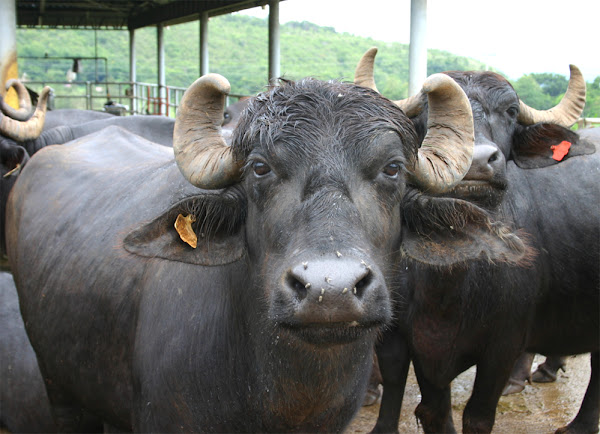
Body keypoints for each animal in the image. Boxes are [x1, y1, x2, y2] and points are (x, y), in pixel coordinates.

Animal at [358, 49, 596, 432]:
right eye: (429, 113)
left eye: (511, 111)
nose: (476, 161)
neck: (452, 282)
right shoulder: (421, 346)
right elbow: (434, 411)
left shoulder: (503, 346)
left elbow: (478, 416)